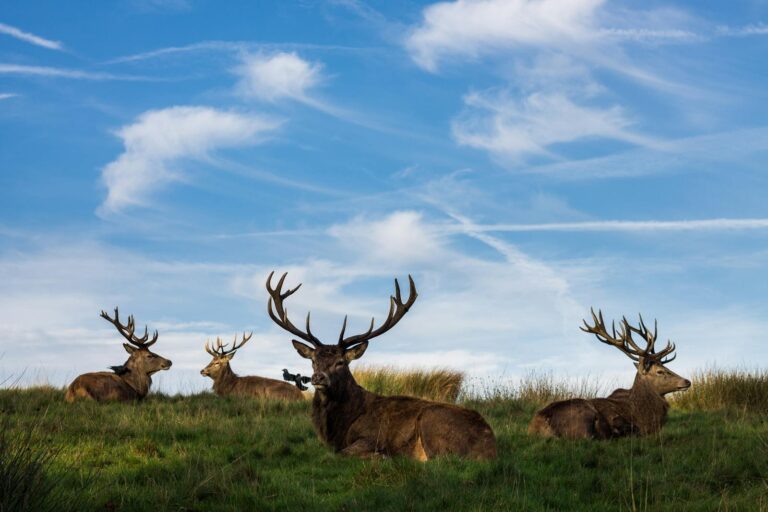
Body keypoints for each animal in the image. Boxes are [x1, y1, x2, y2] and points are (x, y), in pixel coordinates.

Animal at [266, 271, 497, 461]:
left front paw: (382, 456)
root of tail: (491, 447)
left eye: (340, 362)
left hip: (433, 423)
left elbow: (344, 453)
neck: (337, 429)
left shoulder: (371, 436)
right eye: (313, 360)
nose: (318, 378)